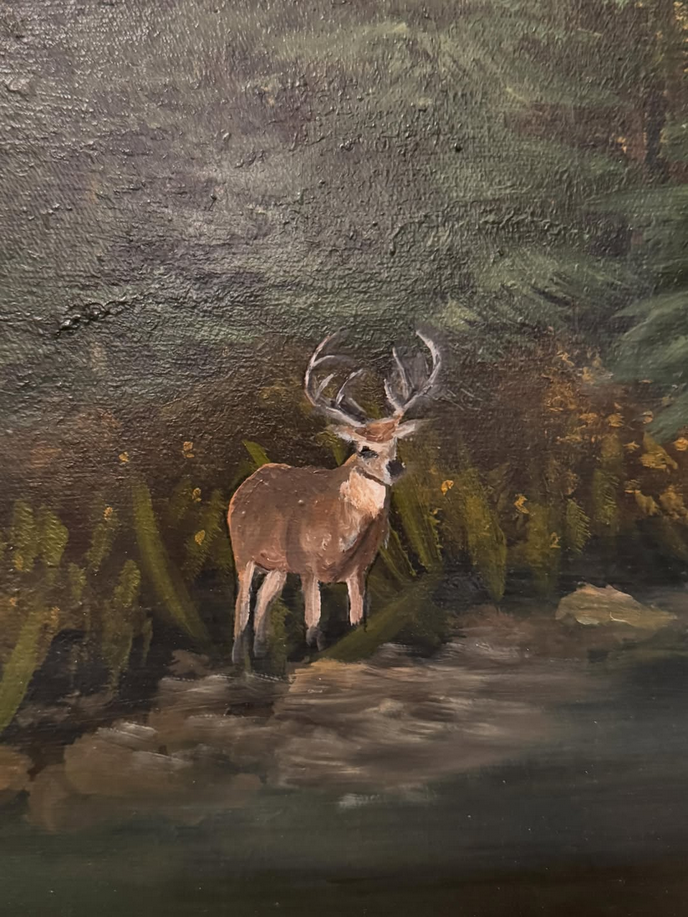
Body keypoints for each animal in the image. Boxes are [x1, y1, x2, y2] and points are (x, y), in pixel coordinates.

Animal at [227, 330, 441, 663]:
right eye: (364, 449)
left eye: (395, 443)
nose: (395, 467)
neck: (342, 531)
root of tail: (245, 485)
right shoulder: (308, 565)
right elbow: (313, 625)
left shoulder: (360, 570)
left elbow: (357, 621)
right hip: (243, 553)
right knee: (242, 606)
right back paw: (240, 659)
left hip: (278, 565)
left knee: (264, 599)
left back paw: (262, 654)